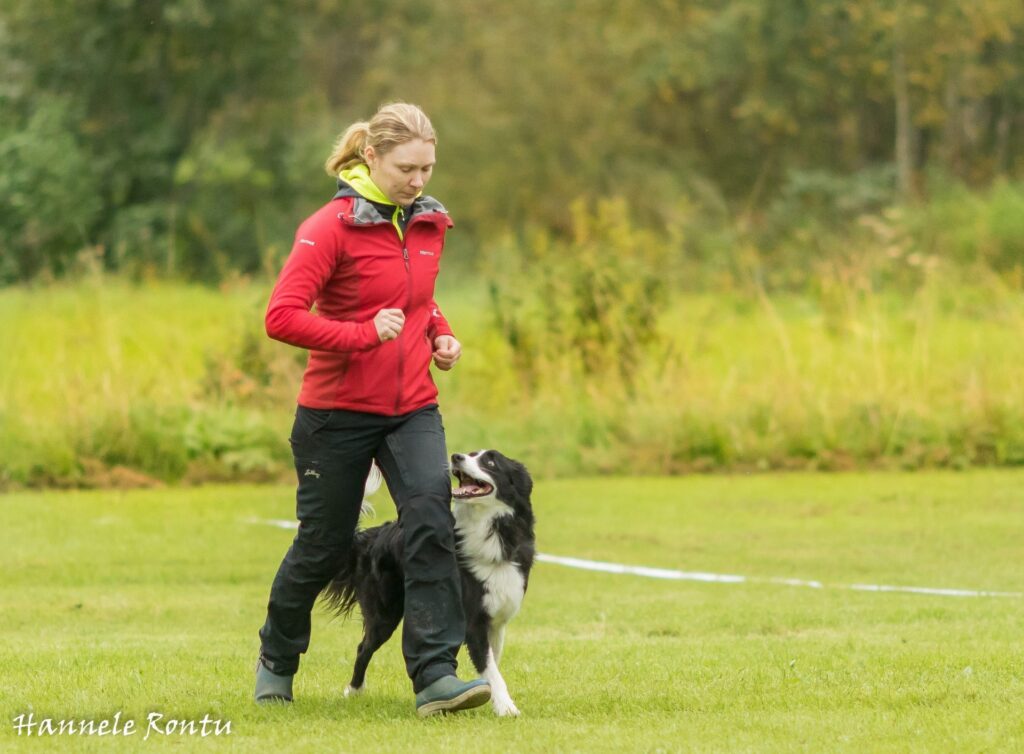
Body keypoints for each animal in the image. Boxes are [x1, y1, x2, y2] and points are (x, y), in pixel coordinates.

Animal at [323, 450, 536, 717]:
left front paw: (496, 702)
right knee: (364, 647)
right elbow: (490, 667)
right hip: (384, 613)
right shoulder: (473, 621)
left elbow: (492, 663)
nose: (456, 456)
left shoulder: (496, 620)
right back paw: (354, 691)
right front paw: (507, 708)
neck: (492, 530)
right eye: (471, 454)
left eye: (490, 461)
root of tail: (373, 535)